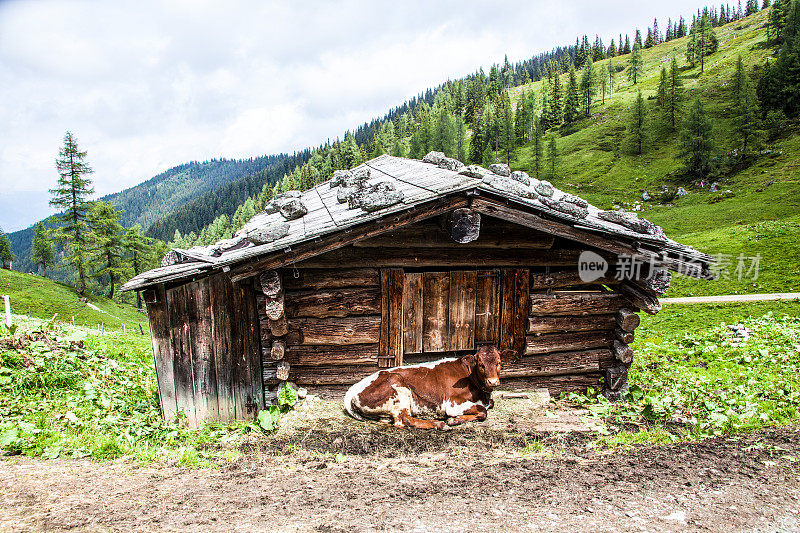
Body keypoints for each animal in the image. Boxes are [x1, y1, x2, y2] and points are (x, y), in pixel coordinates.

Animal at [340, 344, 510, 428]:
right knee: (404, 420)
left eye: (499, 362)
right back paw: (438, 424)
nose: (493, 381)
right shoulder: (453, 404)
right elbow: (483, 412)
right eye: (481, 364)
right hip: (398, 389)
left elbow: (489, 406)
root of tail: (352, 389)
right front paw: (454, 420)